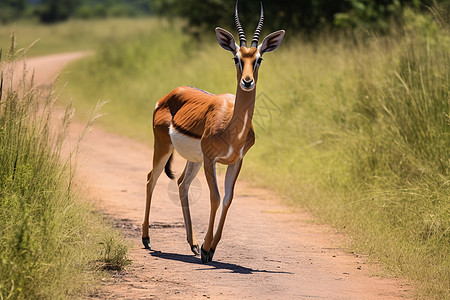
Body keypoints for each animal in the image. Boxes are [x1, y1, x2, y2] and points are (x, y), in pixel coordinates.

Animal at [144, 0, 284, 262]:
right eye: (236, 58)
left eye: (258, 58)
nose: (247, 81)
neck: (231, 128)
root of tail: (168, 95)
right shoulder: (211, 160)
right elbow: (215, 197)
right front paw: (207, 250)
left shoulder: (236, 161)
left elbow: (228, 198)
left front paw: (210, 247)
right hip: (164, 147)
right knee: (151, 178)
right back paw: (147, 239)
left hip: (193, 159)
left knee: (182, 184)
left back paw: (192, 244)